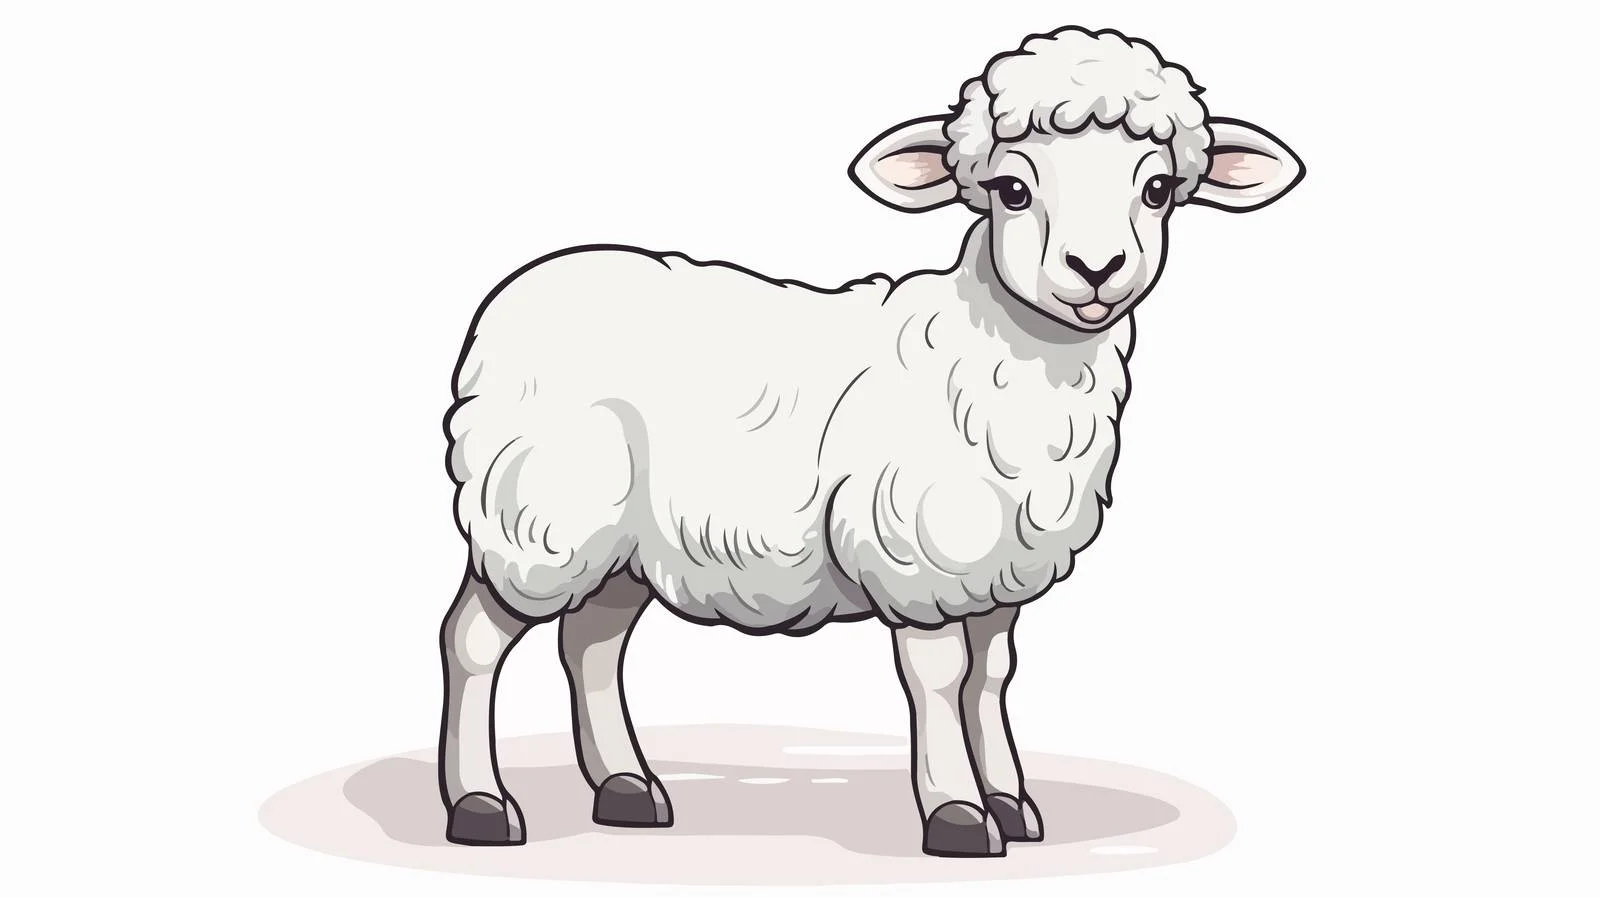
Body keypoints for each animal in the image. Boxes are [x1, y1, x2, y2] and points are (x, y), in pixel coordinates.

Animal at [437, 25, 1304, 858]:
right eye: (1011, 189)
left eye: (1156, 190)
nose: (1096, 269)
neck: (1003, 350)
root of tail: (510, 296)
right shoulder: (921, 557)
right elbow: (942, 677)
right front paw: (958, 812)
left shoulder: (997, 568)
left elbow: (992, 677)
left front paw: (1012, 802)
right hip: (539, 516)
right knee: (473, 638)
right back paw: (480, 804)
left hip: (623, 543)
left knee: (592, 642)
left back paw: (627, 787)